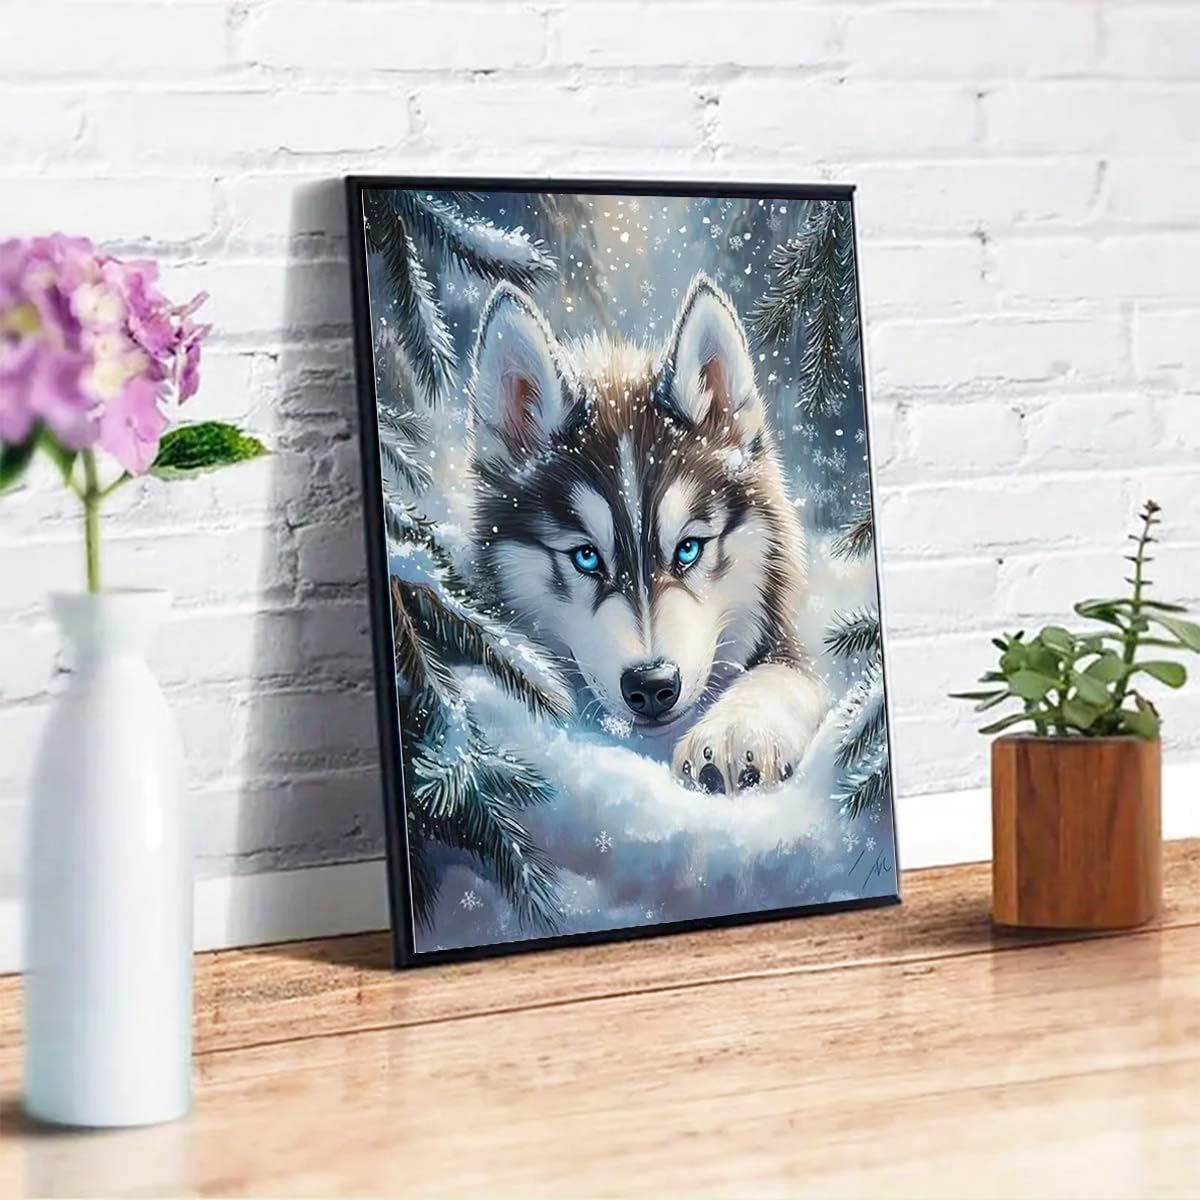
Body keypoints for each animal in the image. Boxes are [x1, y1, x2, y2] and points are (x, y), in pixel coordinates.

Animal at [467, 271, 827, 794]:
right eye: (586, 557)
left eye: (689, 549)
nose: (653, 685)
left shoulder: (786, 644)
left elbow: (781, 678)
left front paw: (733, 732)